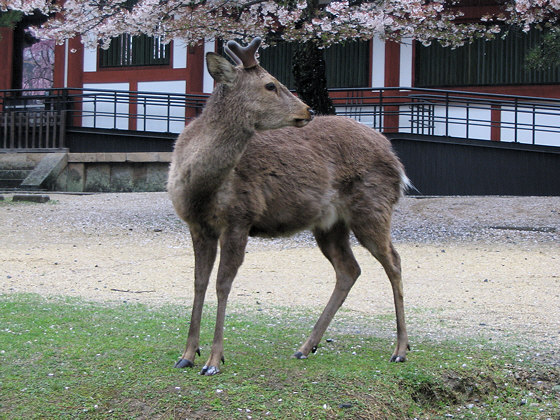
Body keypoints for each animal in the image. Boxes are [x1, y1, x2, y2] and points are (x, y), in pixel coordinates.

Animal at [166, 37, 406, 376]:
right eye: (270, 84)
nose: (308, 109)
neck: (201, 186)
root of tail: (396, 160)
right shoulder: (197, 225)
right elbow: (199, 283)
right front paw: (187, 354)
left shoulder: (240, 217)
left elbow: (223, 284)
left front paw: (214, 361)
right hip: (330, 224)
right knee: (349, 269)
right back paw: (306, 347)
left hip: (373, 207)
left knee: (394, 262)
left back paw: (400, 350)